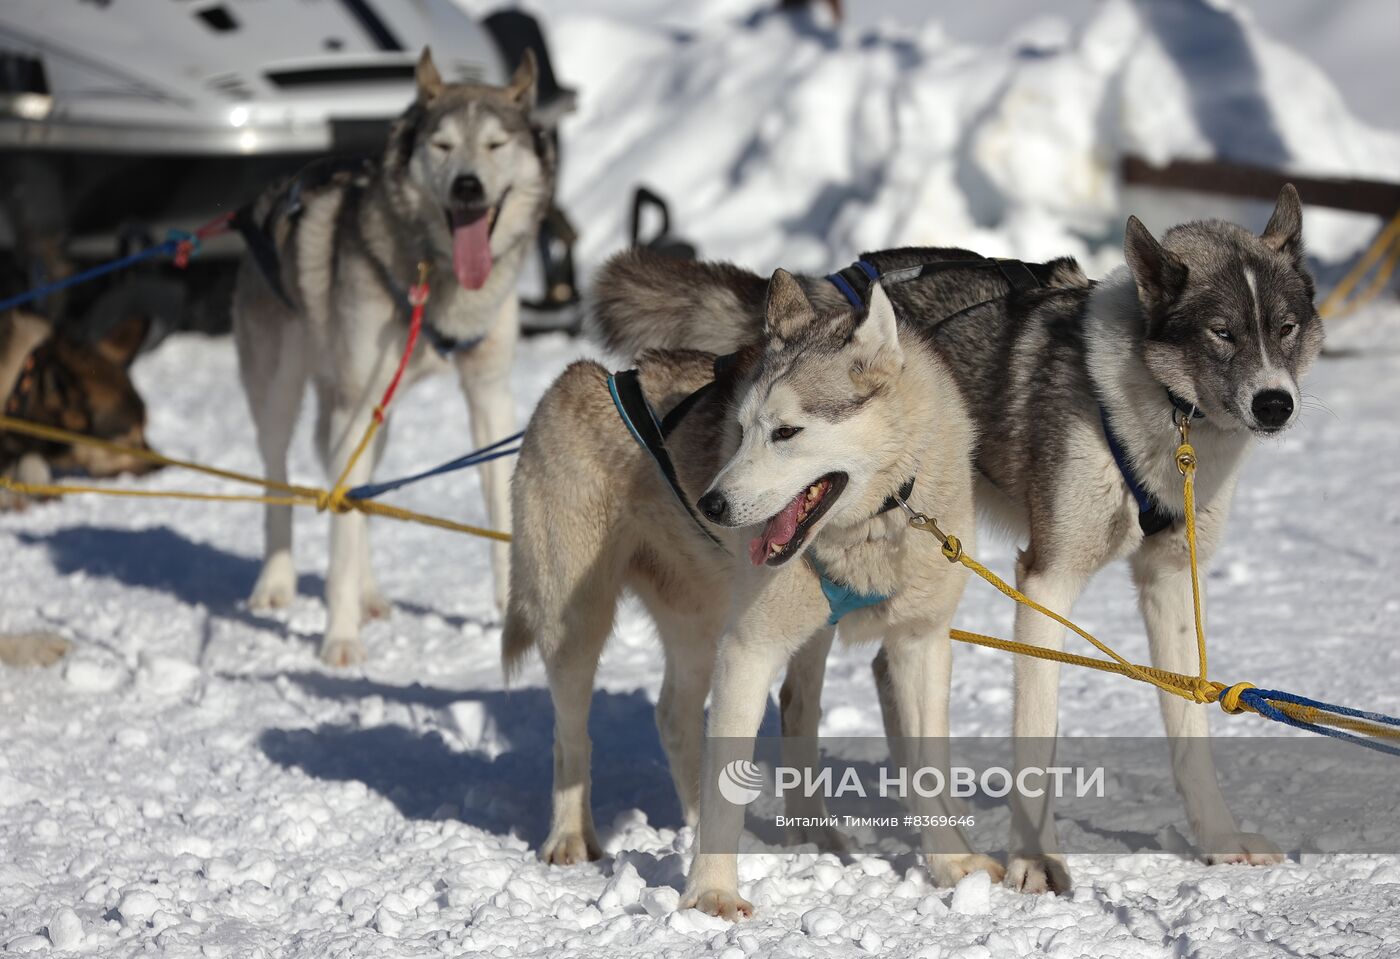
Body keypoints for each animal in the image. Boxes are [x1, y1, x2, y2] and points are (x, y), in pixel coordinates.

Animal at [232, 48, 548, 660]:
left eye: (496, 144)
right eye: (442, 145)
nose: (468, 186)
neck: (435, 279)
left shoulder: (488, 395)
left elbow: (498, 507)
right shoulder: (355, 405)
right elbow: (337, 536)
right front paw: (339, 639)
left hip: (378, 415)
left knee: (359, 498)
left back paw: (370, 594)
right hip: (286, 392)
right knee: (282, 477)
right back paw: (276, 582)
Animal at [506, 263, 1030, 918]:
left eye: (786, 431)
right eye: (738, 430)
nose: (711, 504)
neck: (870, 529)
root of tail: (577, 377)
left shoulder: (920, 642)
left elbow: (929, 766)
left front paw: (953, 866)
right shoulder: (749, 649)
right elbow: (729, 779)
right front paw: (710, 894)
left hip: (709, 627)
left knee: (678, 716)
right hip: (580, 624)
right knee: (571, 733)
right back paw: (571, 836)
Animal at [593, 189, 1321, 896]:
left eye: (1286, 328)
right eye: (1222, 332)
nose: (1275, 403)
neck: (1161, 412)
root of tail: (828, 286)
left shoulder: (1168, 577)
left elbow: (1188, 729)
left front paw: (1218, 839)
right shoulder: (1046, 579)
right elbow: (1037, 732)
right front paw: (1035, 862)